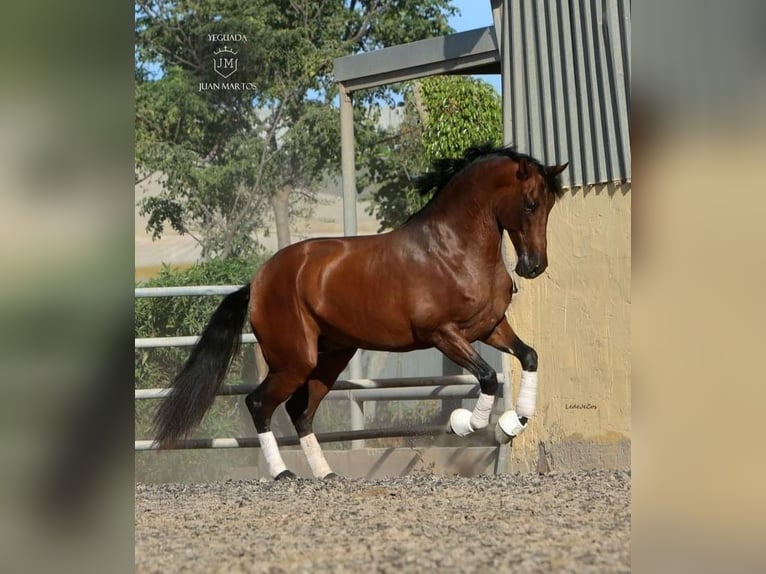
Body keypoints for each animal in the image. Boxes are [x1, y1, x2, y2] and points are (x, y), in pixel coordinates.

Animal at [153, 145, 568, 482]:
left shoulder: (490, 327)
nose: (533, 267)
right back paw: (284, 473)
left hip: (330, 359)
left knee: (300, 411)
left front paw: (514, 422)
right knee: (259, 404)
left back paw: (326, 473)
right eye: (529, 204)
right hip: (294, 361)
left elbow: (529, 356)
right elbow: (486, 378)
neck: (453, 251)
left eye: (550, 206)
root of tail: (257, 281)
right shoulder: (444, 334)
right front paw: (465, 425)